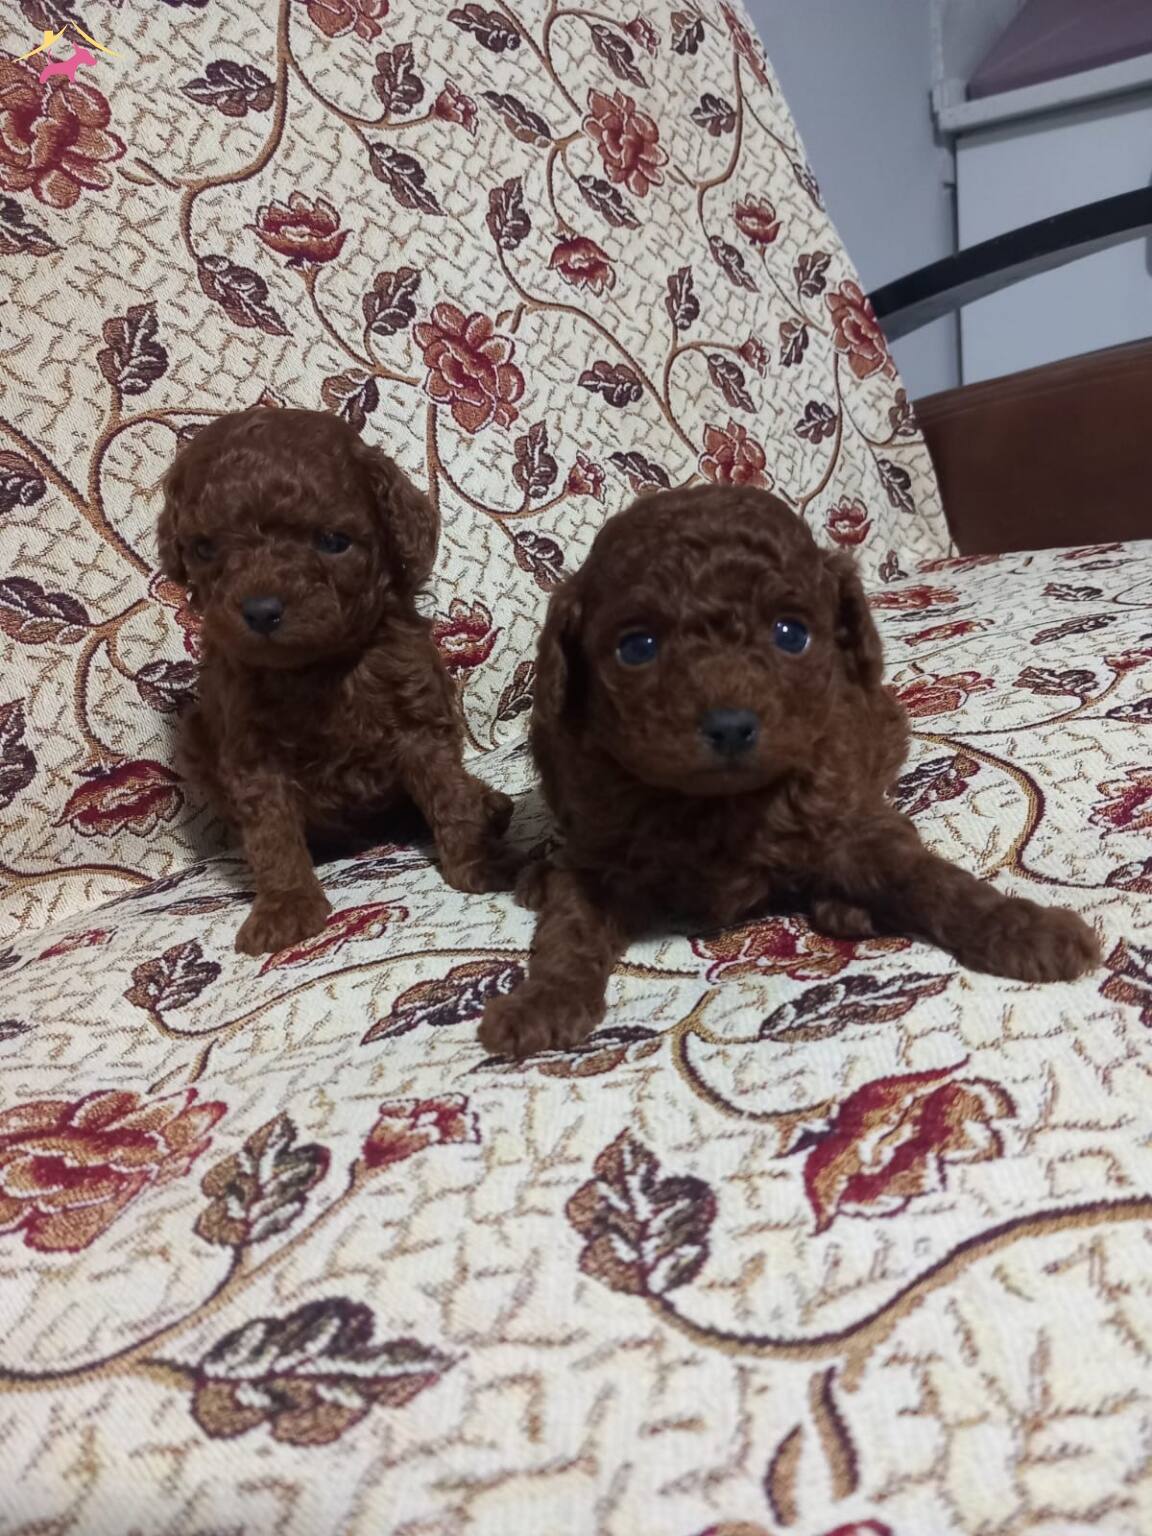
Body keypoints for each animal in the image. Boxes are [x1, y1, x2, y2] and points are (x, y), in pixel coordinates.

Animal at [158, 406, 513, 955]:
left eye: (332, 542)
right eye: (205, 548)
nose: (261, 611)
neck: (317, 667)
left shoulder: (417, 714)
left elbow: (447, 792)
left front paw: (478, 860)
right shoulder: (250, 749)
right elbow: (272, 834)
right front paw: (285, 905)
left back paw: (488, 803)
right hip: (196, 740)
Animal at [479, 485, 1100, 1057]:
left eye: (790, 634)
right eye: (637, 647)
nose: (730, 726)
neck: (718, 806)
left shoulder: (845, 812)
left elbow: (932, 879)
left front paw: (1025, 927)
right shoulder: (599, 853)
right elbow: (570, 930)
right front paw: (543, 1001)